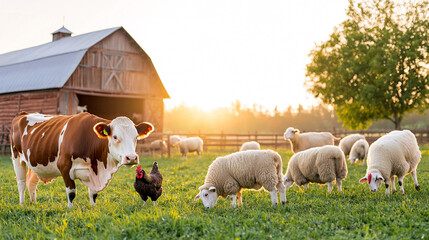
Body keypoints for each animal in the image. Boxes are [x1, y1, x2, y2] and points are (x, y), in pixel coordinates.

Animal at [10, 111, 155, 207]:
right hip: (17, 159)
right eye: (115, 137)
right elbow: (71, 193)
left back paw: (33, 202)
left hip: (34, 162)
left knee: (31, 183)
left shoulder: (93, 172)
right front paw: (70, 210)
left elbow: (93, 194)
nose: (132, 157)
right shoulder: (64, 166)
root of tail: (23, 113)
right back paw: (22, 204)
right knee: (21, 183)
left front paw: (94, 207)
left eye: (136, 137)